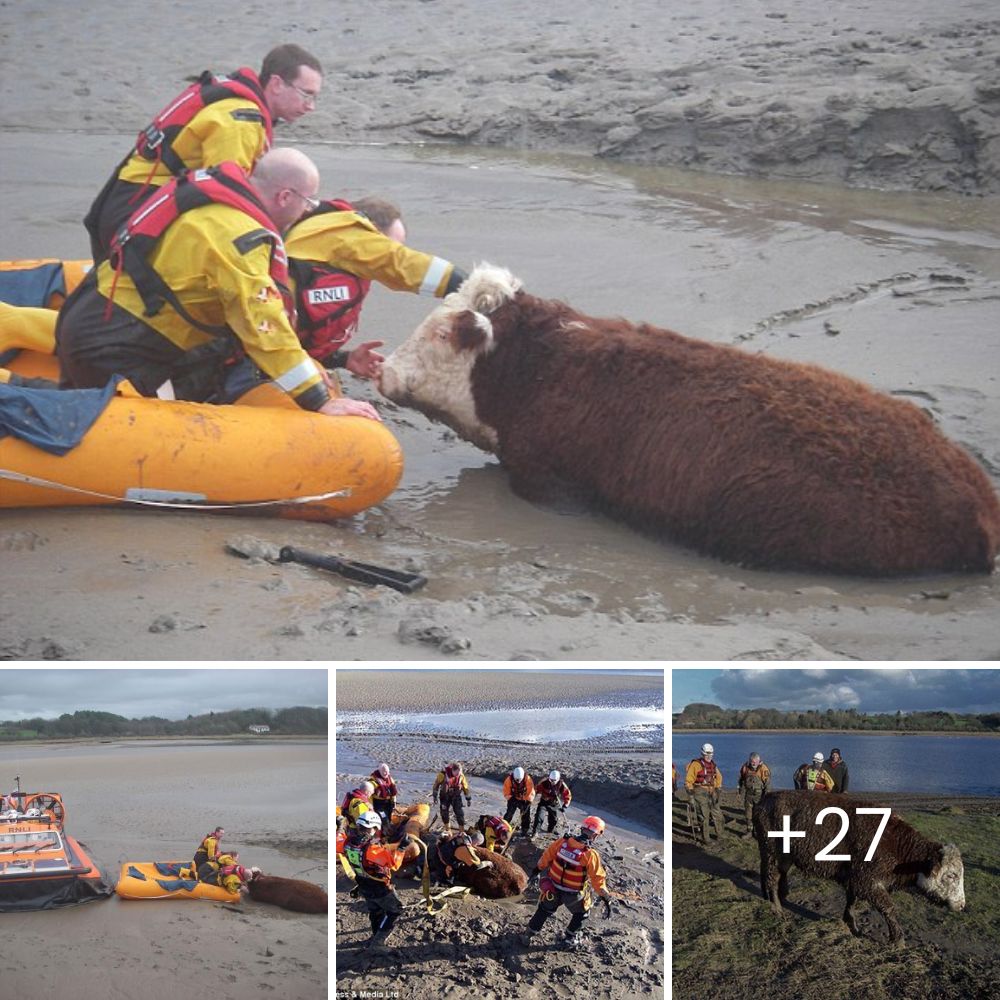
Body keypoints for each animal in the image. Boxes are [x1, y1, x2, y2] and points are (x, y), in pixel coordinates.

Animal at [752, 788, 964, 944]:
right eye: (951, 875)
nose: (962, 905)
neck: (895, 844)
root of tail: (765, 799)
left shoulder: (855, 878)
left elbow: (852, 901)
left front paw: (852, 925)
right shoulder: (866, 881)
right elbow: (888, 908)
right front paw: (898, 939)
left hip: (782, 855)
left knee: (778, 874)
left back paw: (782, 896)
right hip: (771, 852)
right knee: (772, 878)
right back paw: (777, 909)